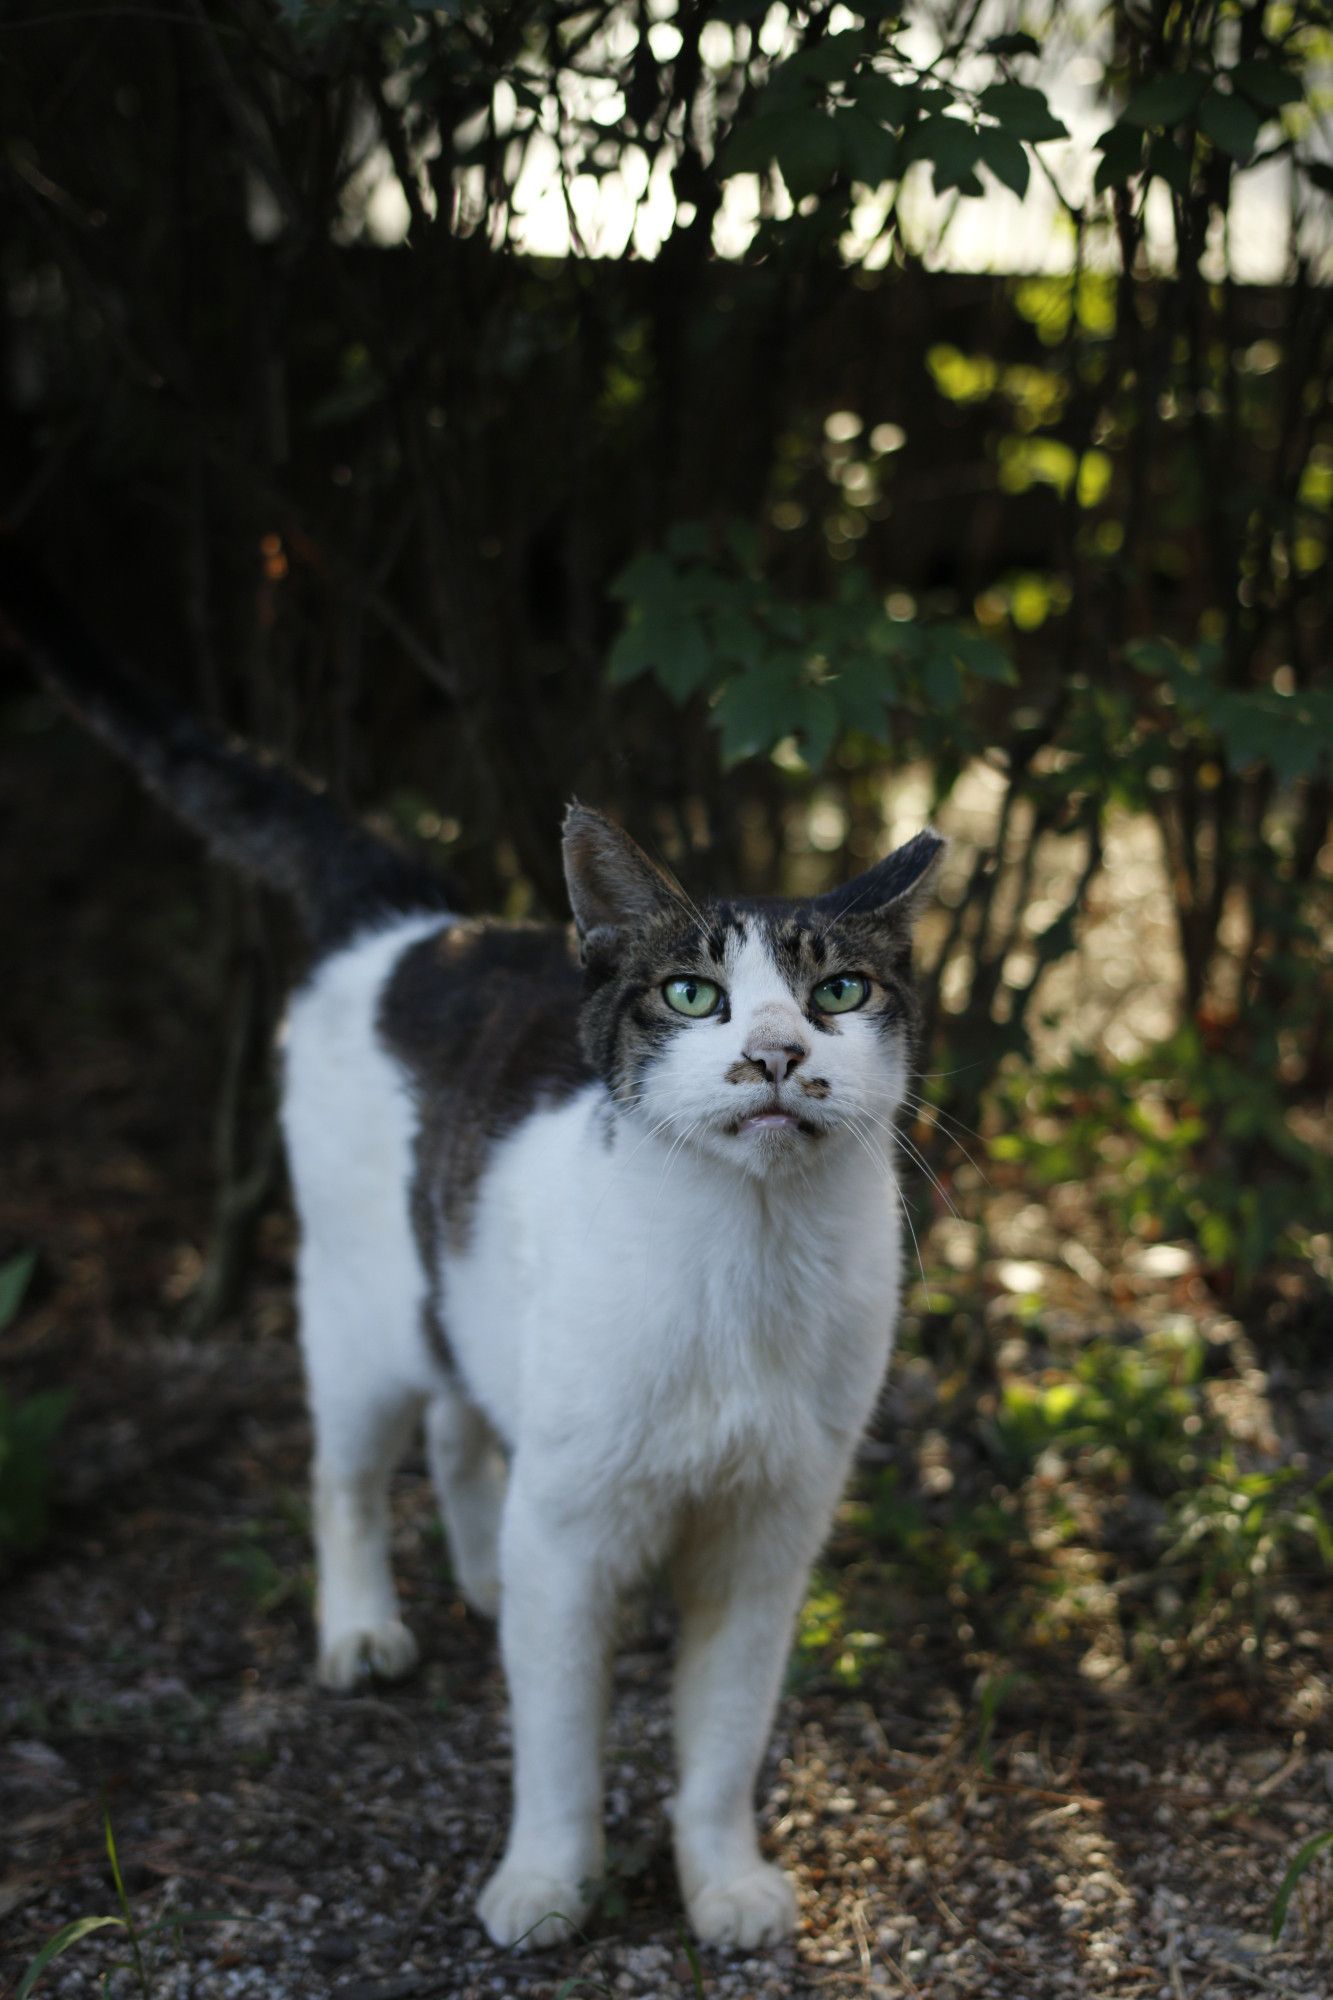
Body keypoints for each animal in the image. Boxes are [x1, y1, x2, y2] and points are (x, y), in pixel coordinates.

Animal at [2, 552, 932, 1952]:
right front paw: (545, 1880)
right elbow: (555, 1738)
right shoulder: (579, 1526)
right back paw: (362, 1627)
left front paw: (721, 1881)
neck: (744, 1260)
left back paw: (483, 1572)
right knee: (345, 1470)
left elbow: (722, 1738)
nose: (775, 1055)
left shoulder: (767, 1537)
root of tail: (416, 920)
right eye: (692, 995)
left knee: (459, 1427)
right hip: (356, 1316)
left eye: (838, 995)